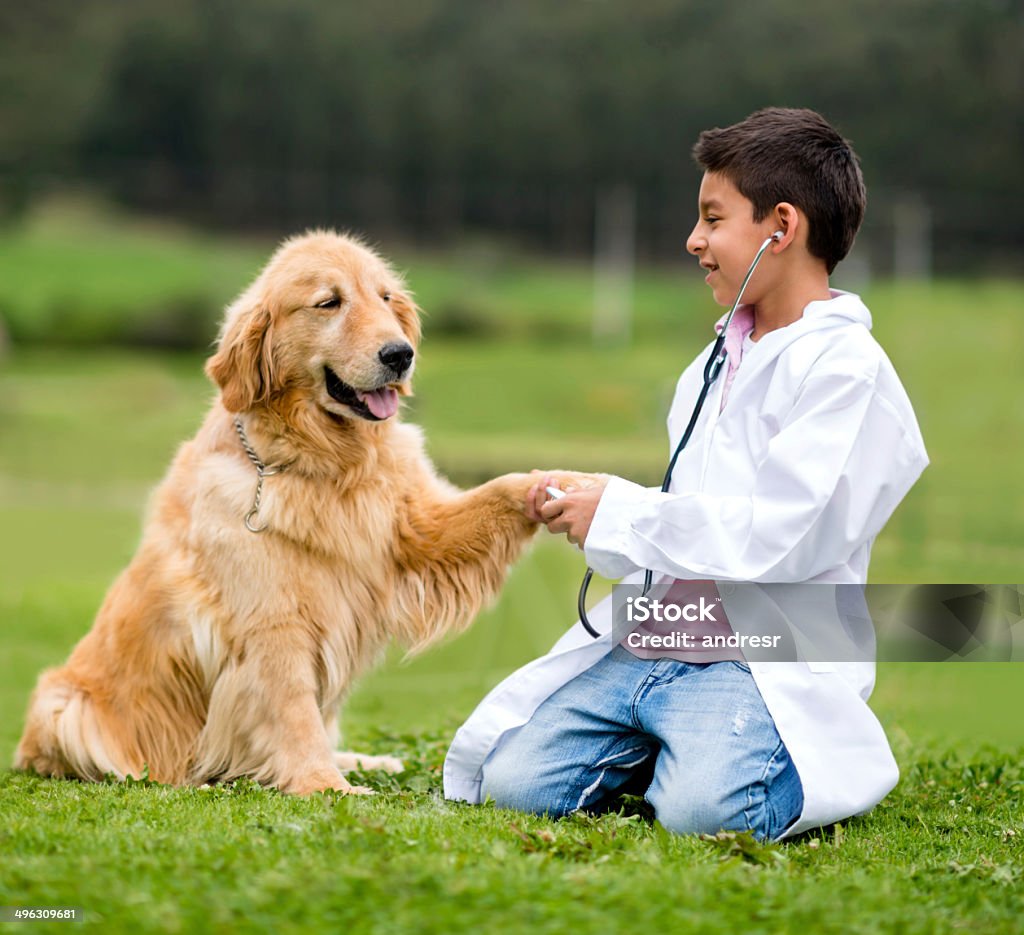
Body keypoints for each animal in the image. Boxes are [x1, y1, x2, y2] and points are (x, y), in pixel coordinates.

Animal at [16, 229, 544, 790]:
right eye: (329, 302)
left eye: (385, 298)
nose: (400, 354)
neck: (325, 463)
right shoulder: (272, 625)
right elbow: (292, 709)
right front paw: (322, 786)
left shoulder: (414, 531)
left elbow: (490, 496)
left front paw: (553, 487)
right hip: (63, 705)